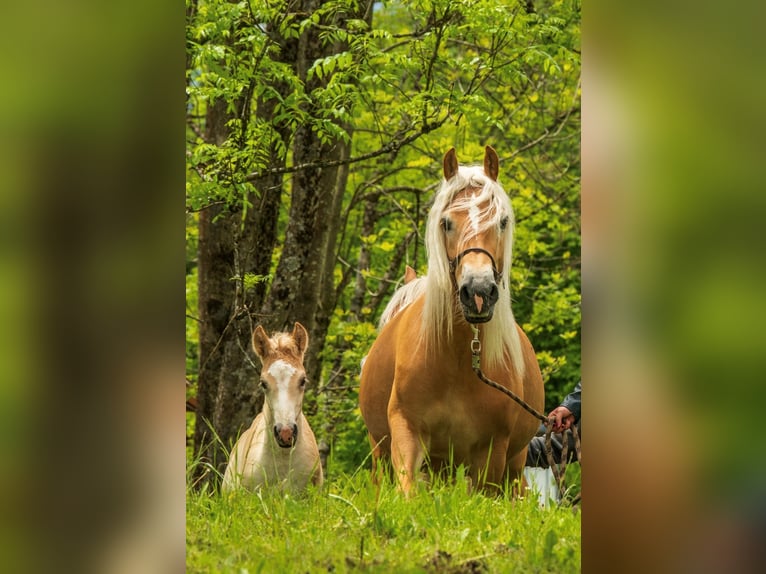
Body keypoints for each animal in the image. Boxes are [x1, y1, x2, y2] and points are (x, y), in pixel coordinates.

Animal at [360, 146, 544, 498]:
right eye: (446, 222)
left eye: (502, 221)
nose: (478, 291)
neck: (457, 361)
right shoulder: (407, 432)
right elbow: (407, 494)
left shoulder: (492, 453)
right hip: (385, 454)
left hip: (513, 464)